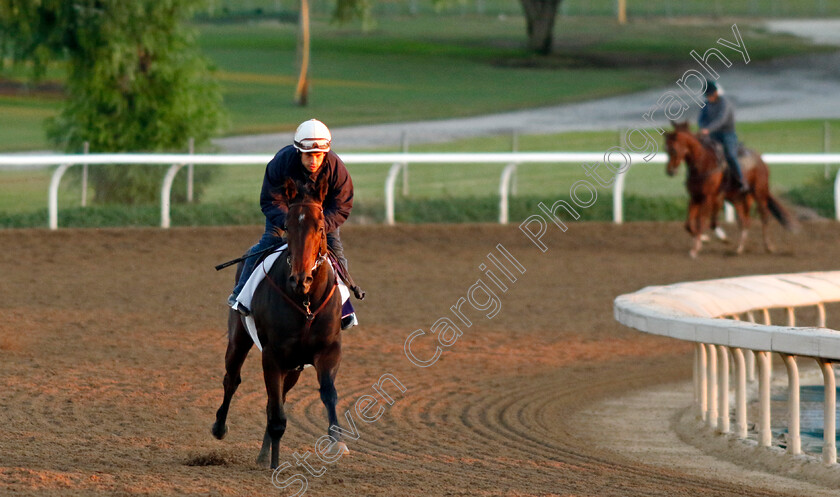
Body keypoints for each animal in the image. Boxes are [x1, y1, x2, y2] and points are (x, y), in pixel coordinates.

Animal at [217, 175, 352, 468]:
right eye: (288, 226)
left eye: (320, 226)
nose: (301, 278)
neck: (306, 303)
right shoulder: (273, 355)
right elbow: (277, 414)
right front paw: (275, 464)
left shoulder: (328, 350)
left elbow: (328, 392)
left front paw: (337, 441)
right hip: (239, 339)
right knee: (232, 379)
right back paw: (220, 428)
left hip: (295, 367)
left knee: (276, 398)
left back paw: (262, 453)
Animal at [664, 122, 796, 258]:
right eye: (665, 149)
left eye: (673, 149)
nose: (670, 171)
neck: (703, 164)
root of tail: (760, 159)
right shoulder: (695, 197)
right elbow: (689, 224)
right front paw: (704, 239)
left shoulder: (708, 198)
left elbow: (702, 221)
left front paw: (696, 249)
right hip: (737, 198)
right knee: (744, 221)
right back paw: (739, 248)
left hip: (759, 193)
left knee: (764, 216)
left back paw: (768, 246)